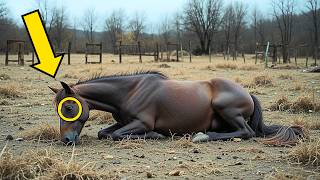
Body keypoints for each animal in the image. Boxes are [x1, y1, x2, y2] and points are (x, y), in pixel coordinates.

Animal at [48, 71, 304, 146]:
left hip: (226, 108)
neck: (130, 91)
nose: (66, 140)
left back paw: (202, 136)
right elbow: (105, 132)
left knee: (246, 132)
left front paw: (156, 135)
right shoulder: (123, 122)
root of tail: (247, 92)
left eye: (68, 108)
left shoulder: (141, 122)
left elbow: (117, 135)